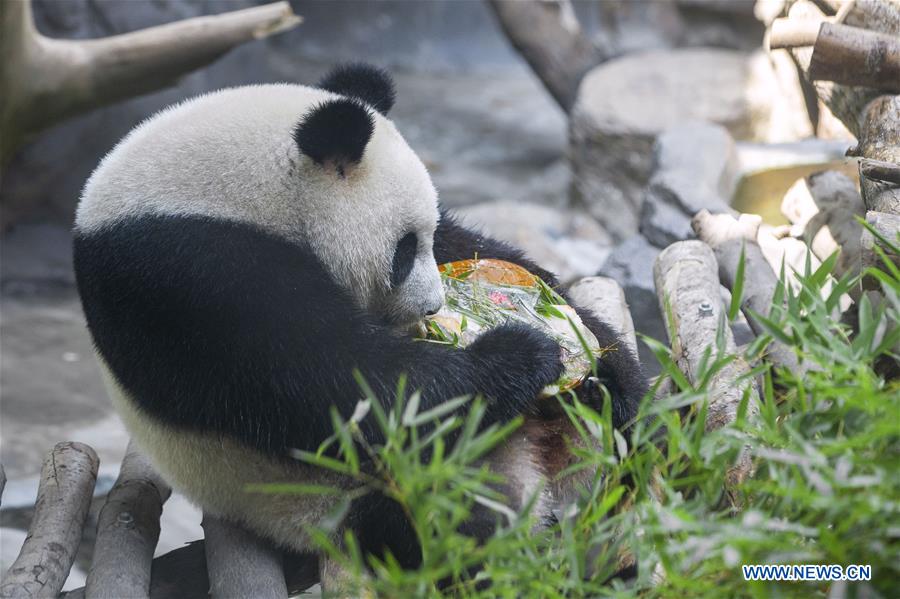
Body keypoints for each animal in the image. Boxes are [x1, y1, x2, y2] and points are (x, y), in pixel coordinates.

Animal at [72, 64, 648, 584]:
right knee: (450, 520)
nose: (432, 306)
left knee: (633, 441)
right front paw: (519, 356)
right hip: (333, 500)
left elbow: (476, 249)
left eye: (426, 237)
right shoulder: (188, 274)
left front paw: (601, 357)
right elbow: (341, 386)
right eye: (404, 249)